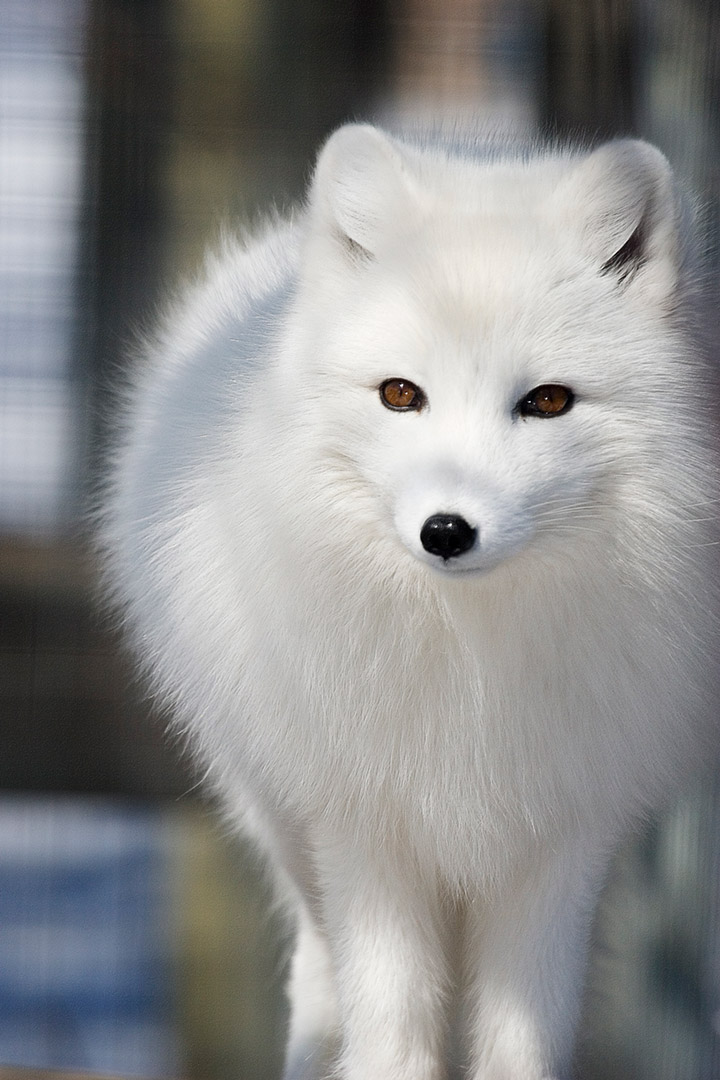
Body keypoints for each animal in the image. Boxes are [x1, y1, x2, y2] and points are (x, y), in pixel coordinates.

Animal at [101, 123, 719, 1080]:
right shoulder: (369, 830)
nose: (447, 530)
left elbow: (524, 1036)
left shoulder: (561, 840)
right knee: (319, 969)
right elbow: (391, 1024)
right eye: (401, 394)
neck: (467, 663)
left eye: (547, 401)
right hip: (284, 819)